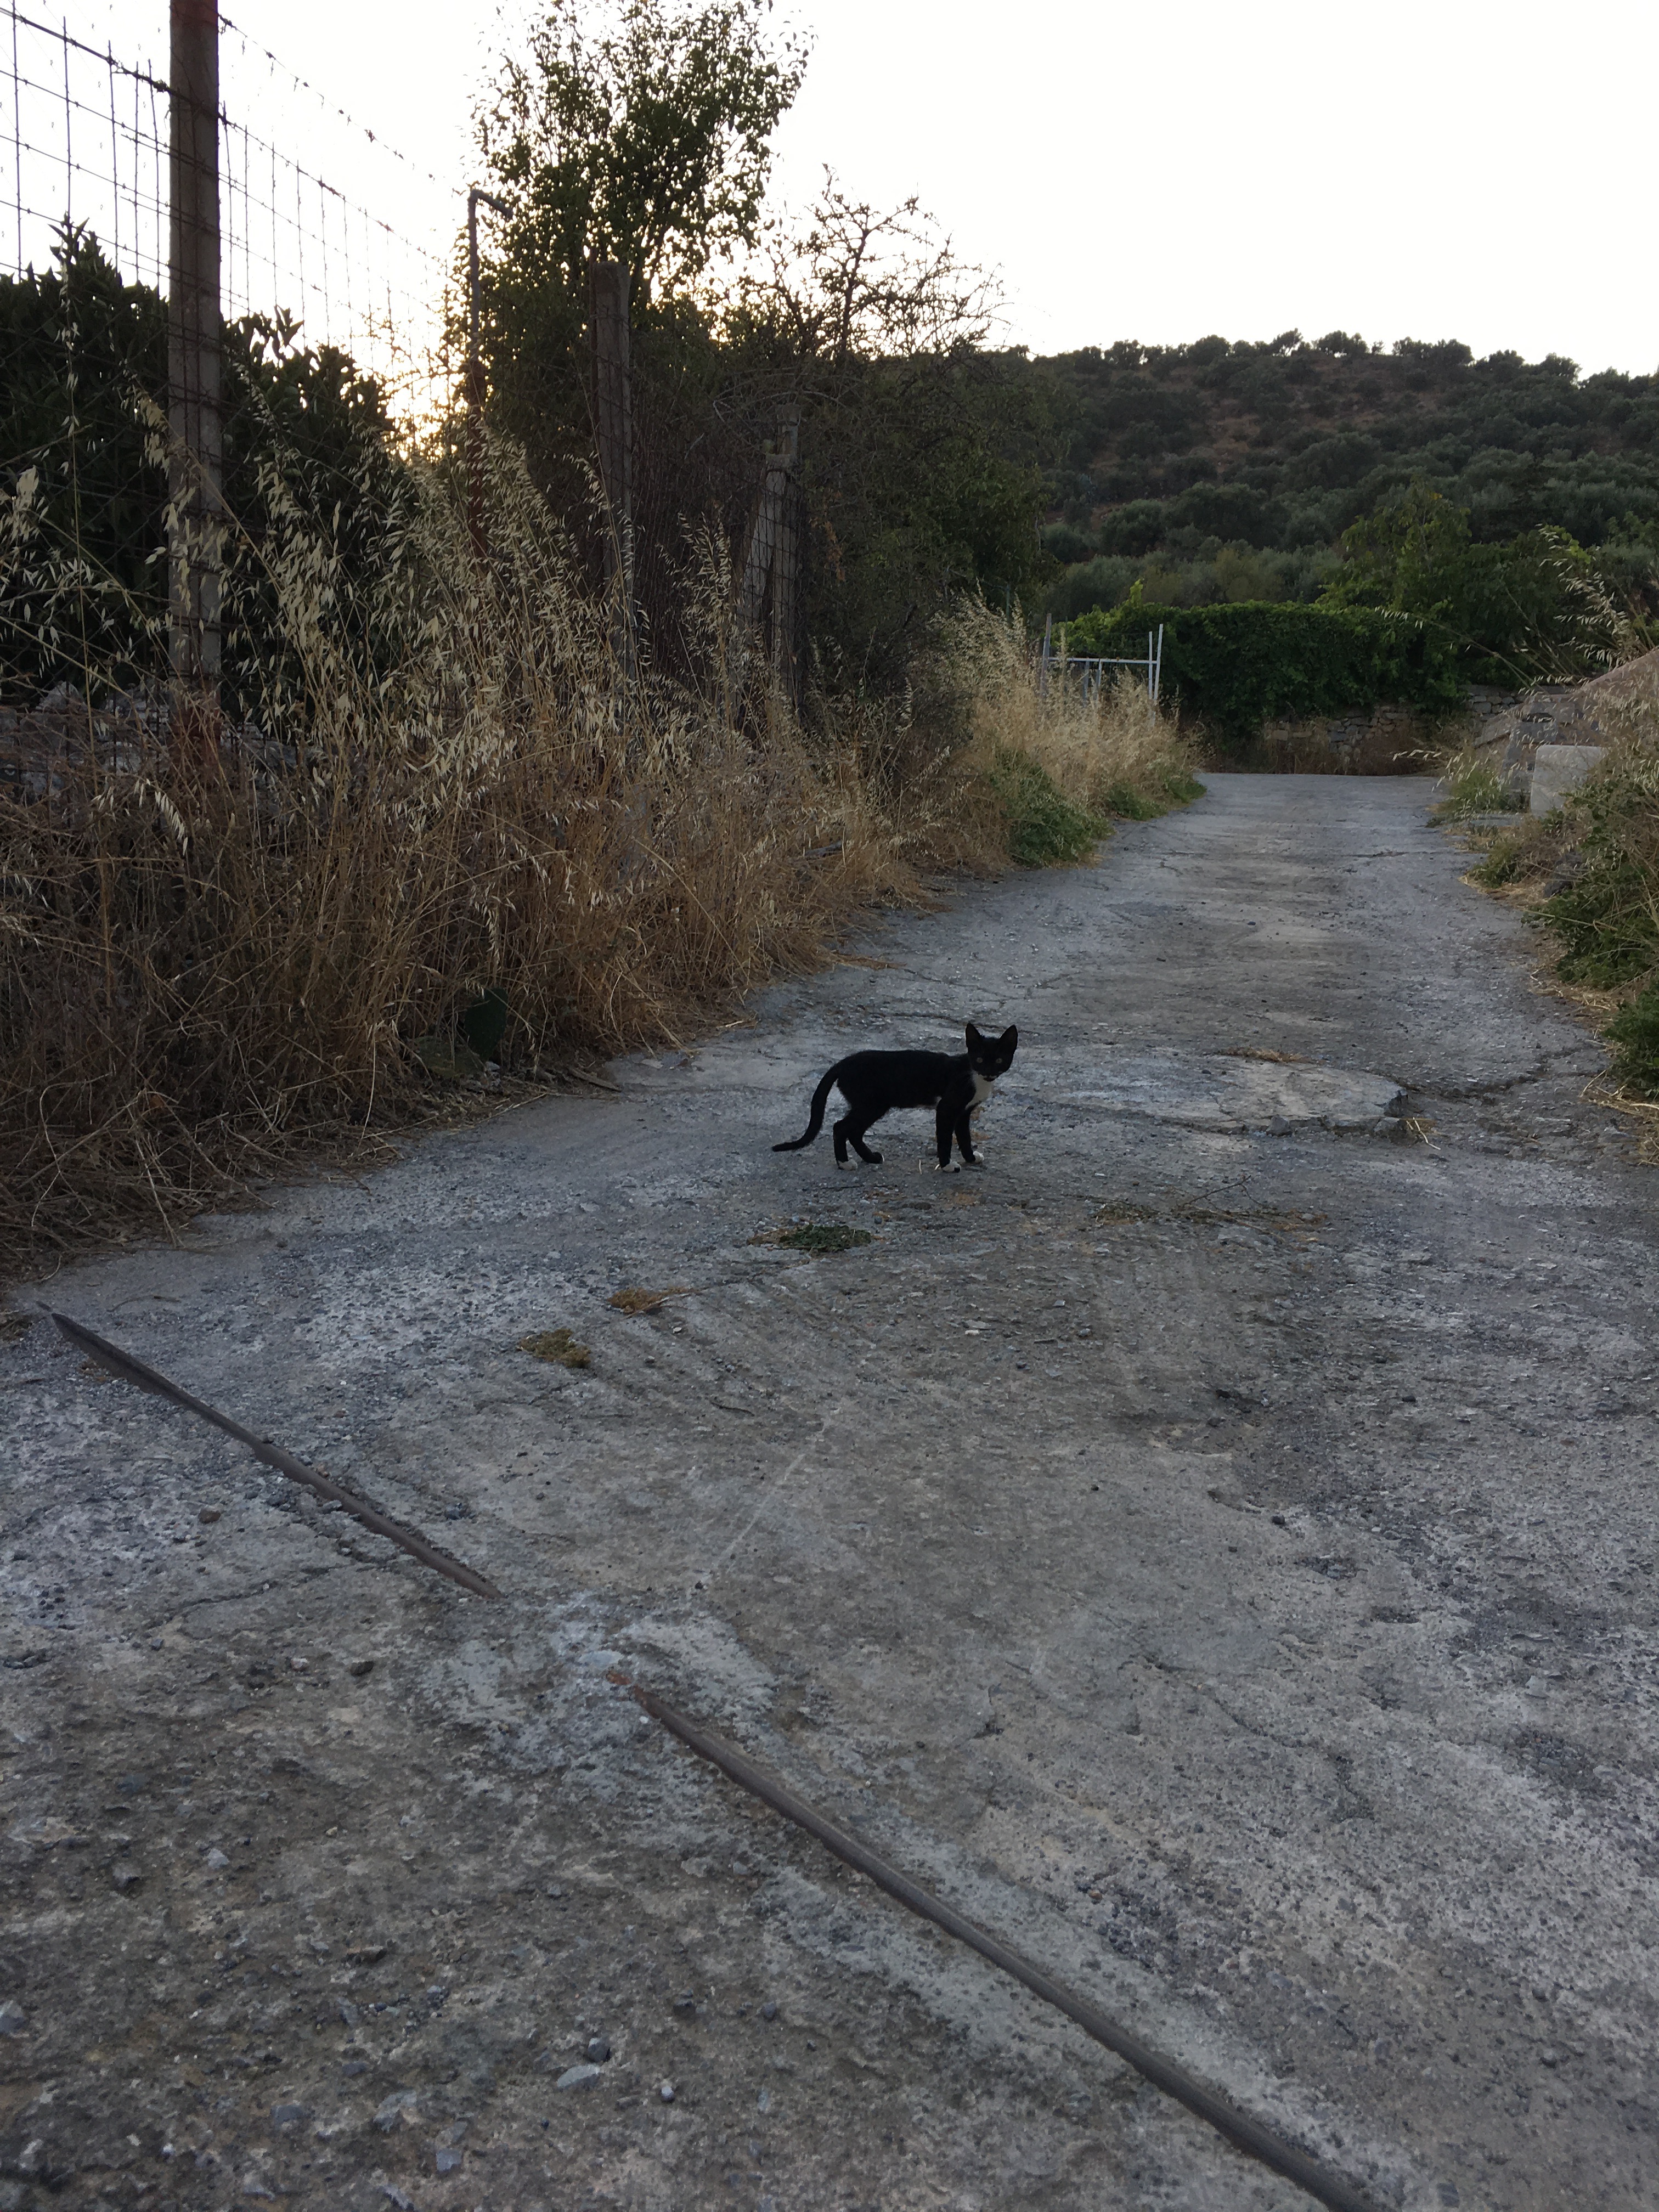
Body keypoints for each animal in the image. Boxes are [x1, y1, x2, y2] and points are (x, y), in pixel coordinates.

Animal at [773, 1022, 1019, 1171]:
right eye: (979, 1059)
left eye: (998, 1060)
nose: (988, 1071)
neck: (975, 1077)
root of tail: (842, 1063)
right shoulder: (947, 1108)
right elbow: (946, 1139)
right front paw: (948, 1166)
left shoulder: (964, 1112)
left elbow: (965, 1137)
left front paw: (970, 1158)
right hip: (872, 1104)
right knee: (841, 1127)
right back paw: (845, 1163)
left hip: (872, 1105)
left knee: (853, 1131)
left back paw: (870, 1158)